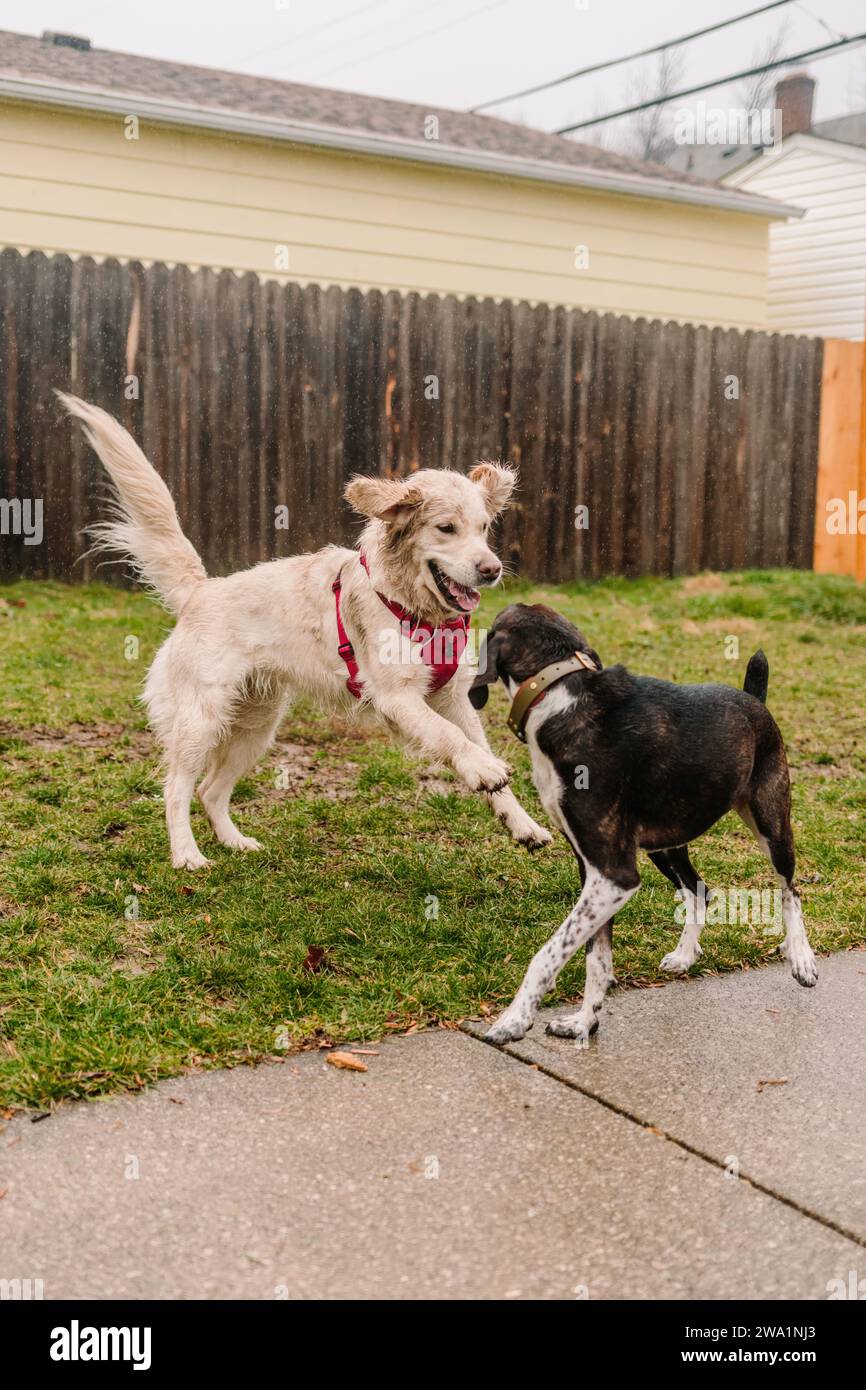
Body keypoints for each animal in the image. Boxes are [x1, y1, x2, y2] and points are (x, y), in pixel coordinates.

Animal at [61, 394, 553, 867]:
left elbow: (473, 743)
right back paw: (187, 855)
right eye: (446, 528)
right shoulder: (398, 698)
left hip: (256, 726)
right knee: (177, 789)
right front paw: (484, 770)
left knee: (210, 790)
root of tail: (201, 590)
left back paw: (235, 843)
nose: (491, 569)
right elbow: (450, 738)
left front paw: (523, 824)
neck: (413, 608)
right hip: (201, 721)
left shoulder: (452, 697)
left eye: (484, 527)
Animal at [469, 603, 817, 1045]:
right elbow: (597, 959)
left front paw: (514, 1019)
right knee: (699, 890)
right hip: (665, 843)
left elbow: (548, 954)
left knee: (790, 890)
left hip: (771, 822)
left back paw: (802, 958)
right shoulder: (595, 873)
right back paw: (685, 955)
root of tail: (753, 699)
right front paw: (584, 1023)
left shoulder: (613, 875)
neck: (561, 693)